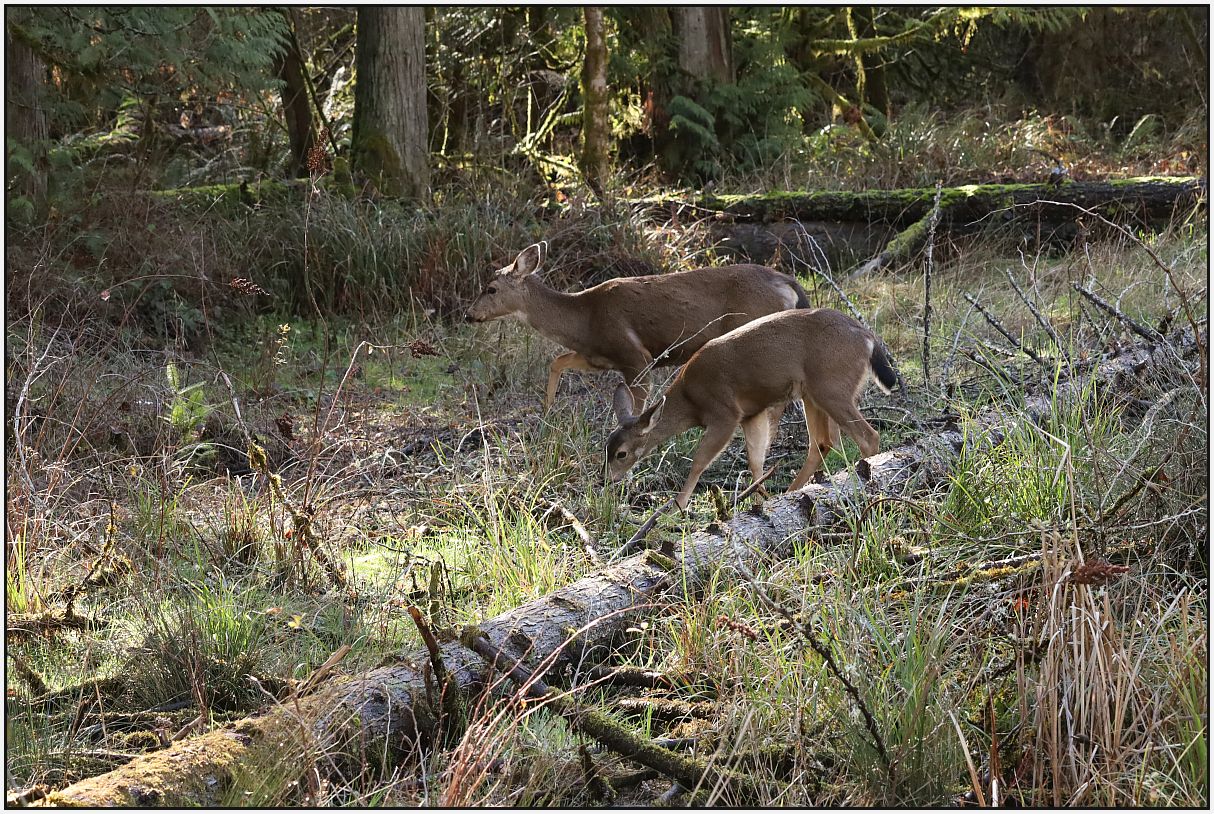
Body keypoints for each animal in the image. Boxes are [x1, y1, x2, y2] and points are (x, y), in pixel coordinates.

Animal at [465, 242, 808, 411]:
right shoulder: (598, 356)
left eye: (491, 288)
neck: (584, 319)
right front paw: (547, 412)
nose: (469, 315)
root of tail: (786, 282)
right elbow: (557, 361)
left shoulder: (635, 356)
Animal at [605, 307, 900, 511]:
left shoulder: (725, 412)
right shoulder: (752, 414)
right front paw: (762, 499)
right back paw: (791, 492)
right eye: (606, 447)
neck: (690, 400)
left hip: (831, 387)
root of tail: (867, 337)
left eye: (621, 453)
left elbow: (699, 462)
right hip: (812, 393)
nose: (609, 480)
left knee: (867, 436)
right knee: (821, 443)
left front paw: (677, 506)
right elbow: (756, 461)